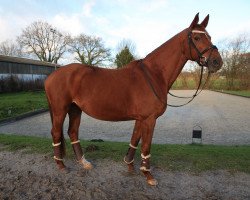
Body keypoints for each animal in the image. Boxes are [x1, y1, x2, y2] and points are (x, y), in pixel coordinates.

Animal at [45, 13, 223, 186]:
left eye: (210, 36)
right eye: (197, 38)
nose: (217, 62)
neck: (154, 74)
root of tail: (52, 76)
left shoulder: (141, 118)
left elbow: (135, 140)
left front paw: (130, 165)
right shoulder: (150, 119)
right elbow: (146, 146)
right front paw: (148, 175)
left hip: (75, 109)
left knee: (73, 132)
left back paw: (83, 162)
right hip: (60, 110)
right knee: (56, 132)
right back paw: (61, 165)